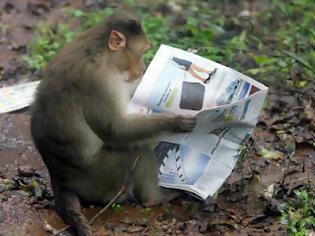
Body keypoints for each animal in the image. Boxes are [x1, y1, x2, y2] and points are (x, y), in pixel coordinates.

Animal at [30, 11, 196, 236]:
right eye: (142, 51)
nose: (143, 68)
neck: (101, 53)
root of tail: (60, 181)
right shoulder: (98, 81)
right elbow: (116, 130)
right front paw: (175, 122)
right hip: (103, 180)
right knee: (137, 151)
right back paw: (155, 198)